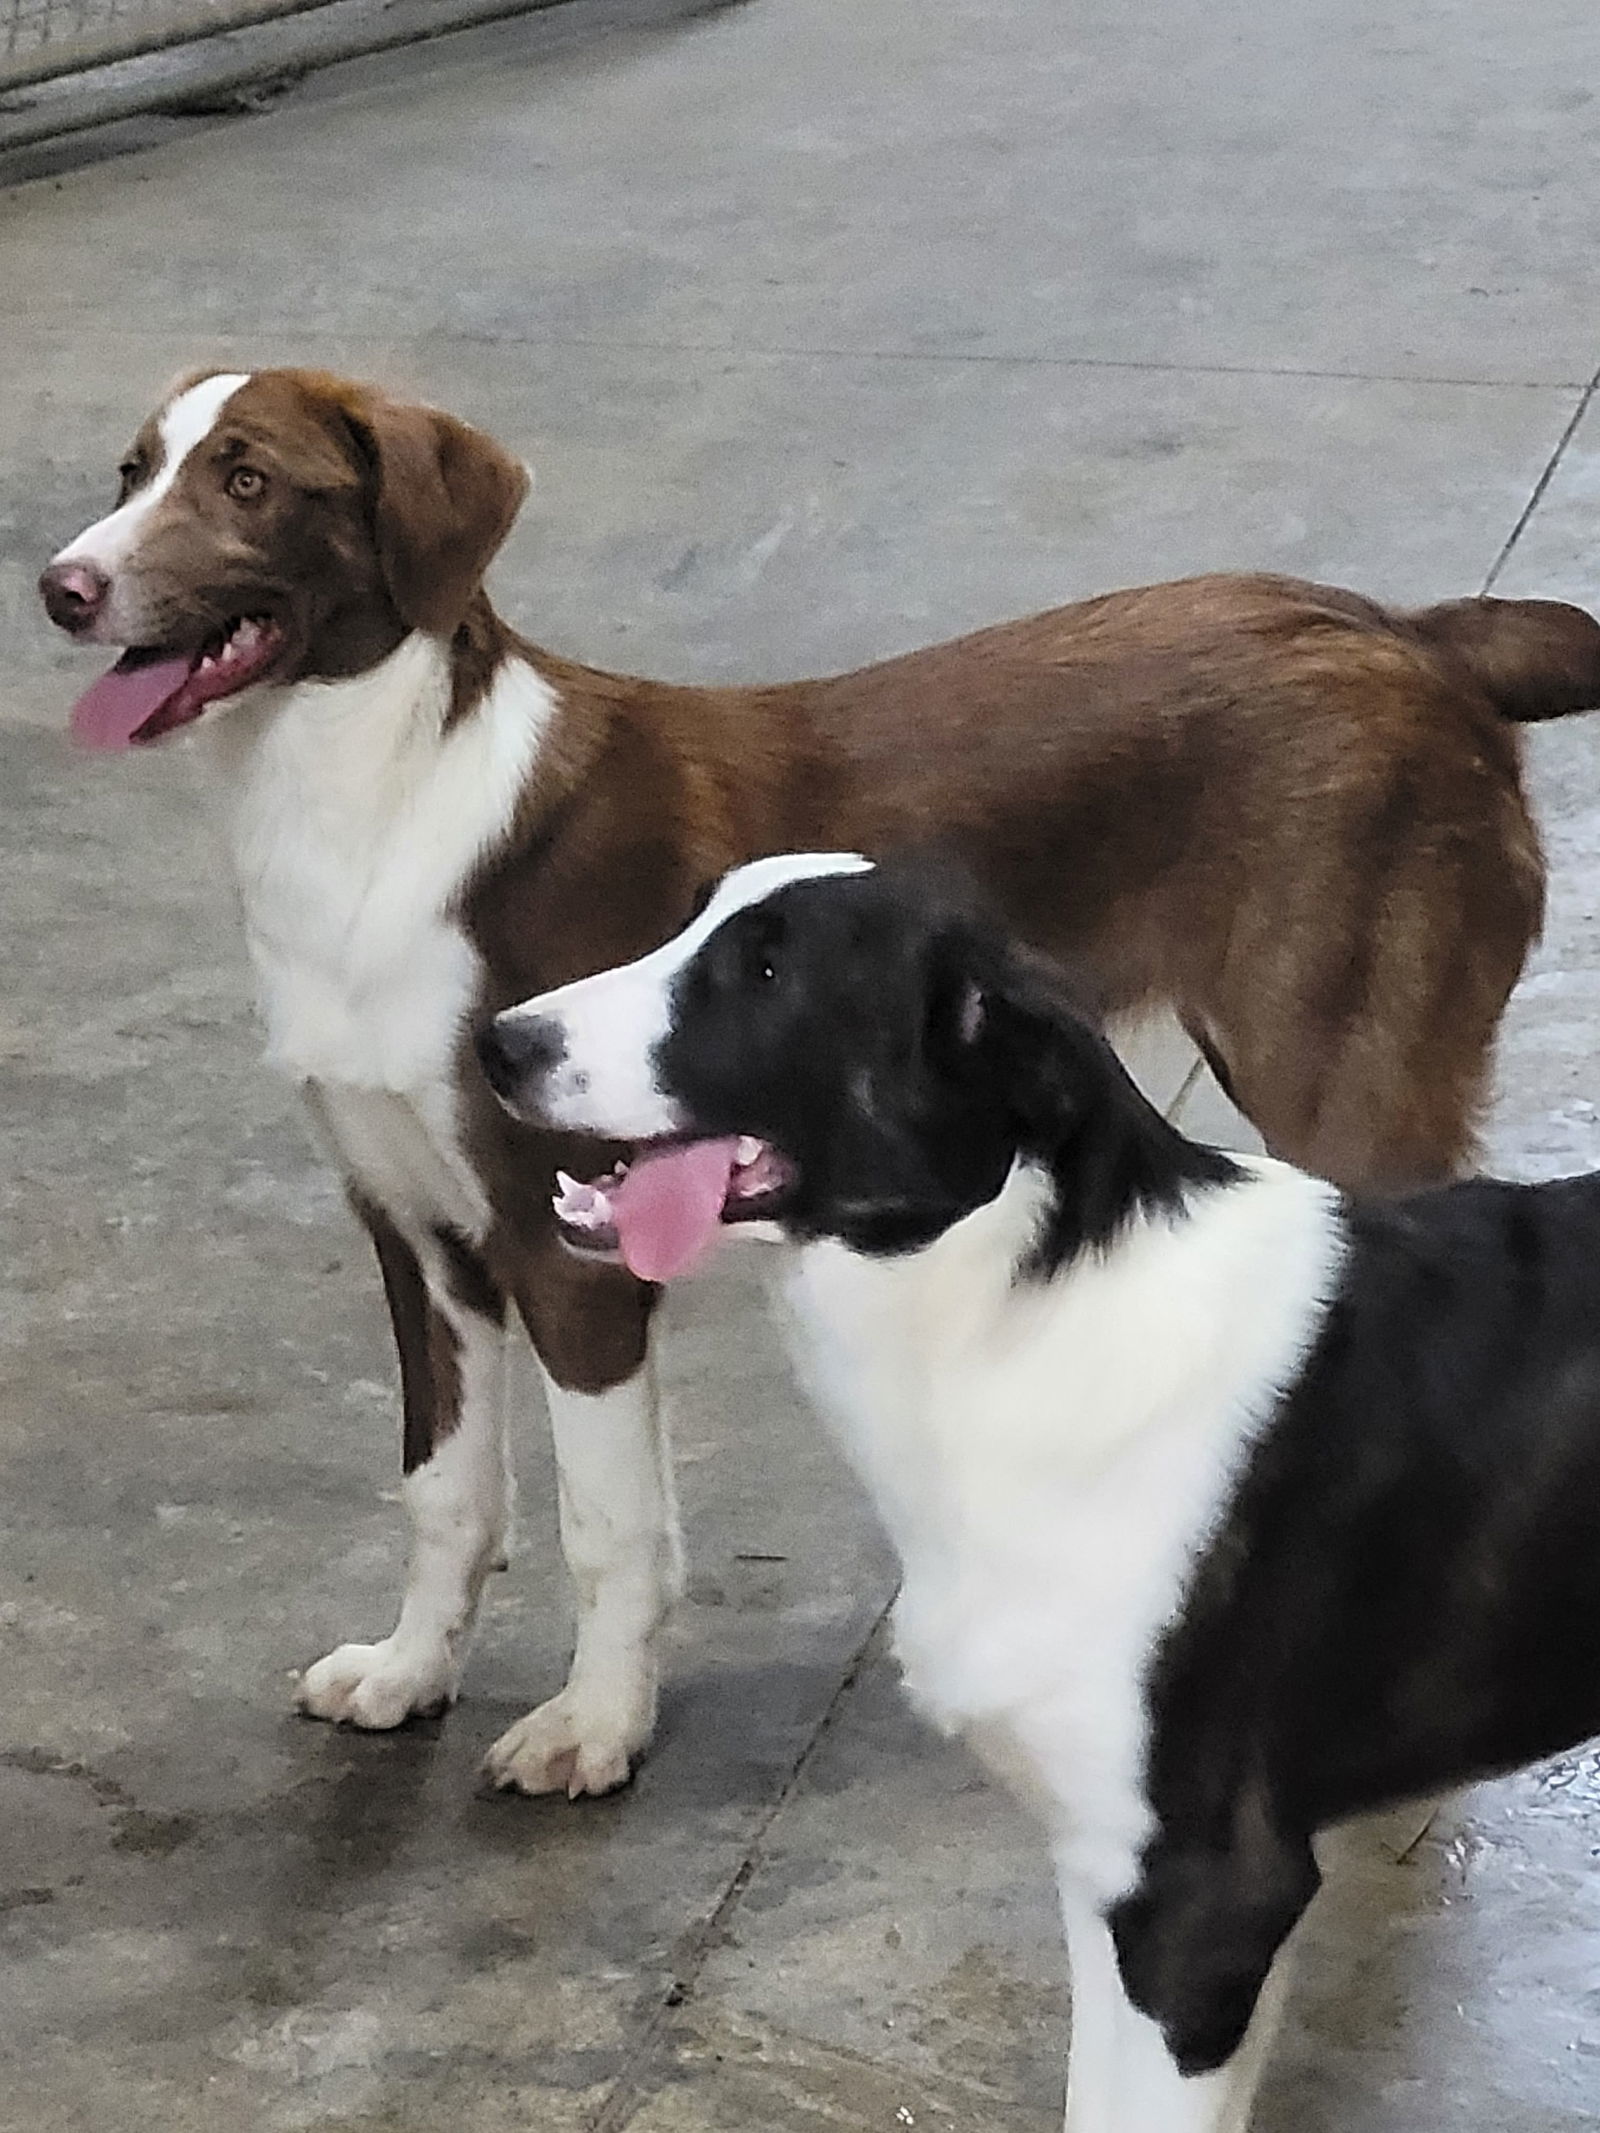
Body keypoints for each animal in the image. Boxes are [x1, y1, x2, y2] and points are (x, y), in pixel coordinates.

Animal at [34, 371, 1600, 1800]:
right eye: (133, 468)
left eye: (245, 480)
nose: (61, 588)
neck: (370, 808)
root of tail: (1412, 630)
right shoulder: (420, 1234)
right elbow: (444, 1486)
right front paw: (412, 1670)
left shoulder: (563, 1244)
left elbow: (603, 1524)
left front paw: (593, 1731)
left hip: (1345, 1070)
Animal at [482, 857, 1600, 2133]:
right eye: (690, 924)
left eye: (765, 972)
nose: (498, 1045)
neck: (1012, 1319)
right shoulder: (1109, 1875)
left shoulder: (1200, 1897)